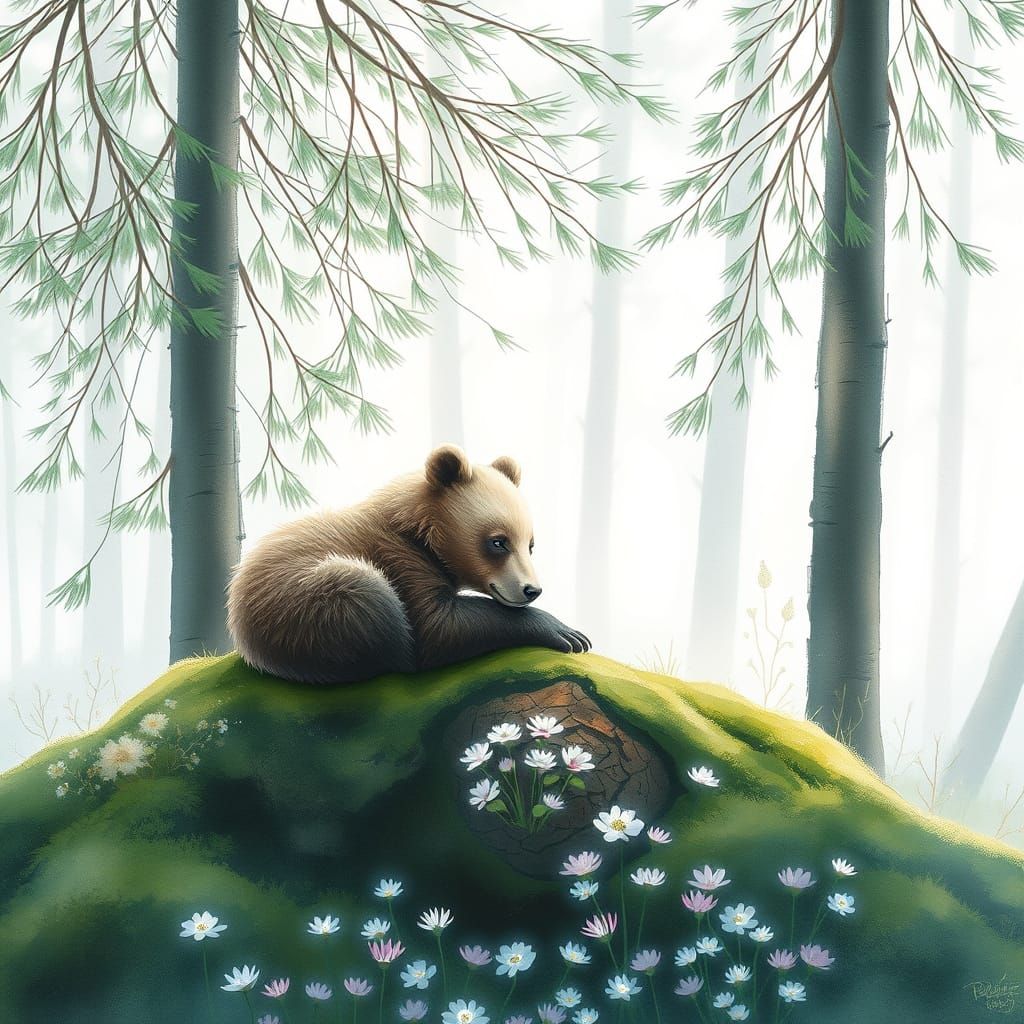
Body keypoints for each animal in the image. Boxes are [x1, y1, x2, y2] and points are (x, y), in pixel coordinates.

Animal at [227, 445, 591, 683]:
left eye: (530, 544)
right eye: (497, 541)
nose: (532, 590)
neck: (419, 530)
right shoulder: (400, 560)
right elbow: (436, 627)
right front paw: (563, 631)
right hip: (313, 605)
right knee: (370, 602)